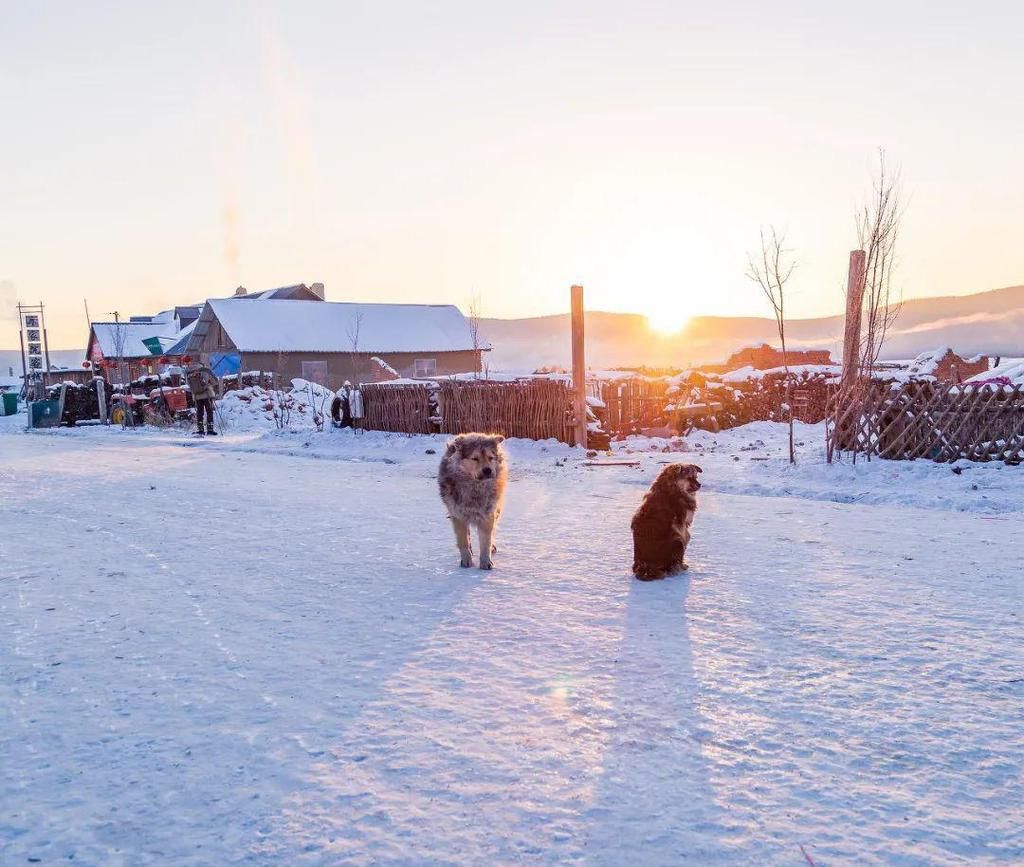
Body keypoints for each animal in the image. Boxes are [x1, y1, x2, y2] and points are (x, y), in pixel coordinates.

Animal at [436, 431, 507, 569]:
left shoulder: (487, 514)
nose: (488, 470)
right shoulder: (458, 515)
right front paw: (466, 561)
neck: (475, 486)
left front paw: (485, 562)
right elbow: (463, 541)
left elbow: (486, 541)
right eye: (475, 458)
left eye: (491, 458)